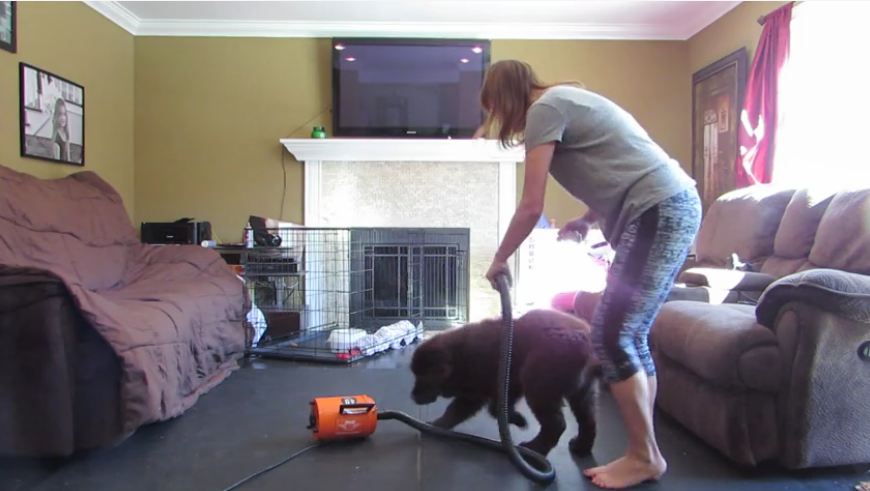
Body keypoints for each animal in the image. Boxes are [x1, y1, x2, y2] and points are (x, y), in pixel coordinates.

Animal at [412, 310, 604, 456]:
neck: (459, 357)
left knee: (556, 424)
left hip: (538, 384)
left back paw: (536, 449)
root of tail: (590, 348)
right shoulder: (505, 387)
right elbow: (477, 410)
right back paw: (581, 446)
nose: (413, 397)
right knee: (589, 421)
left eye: (422, 377)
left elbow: (472, 410)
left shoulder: (485, 389)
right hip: (582, 392)